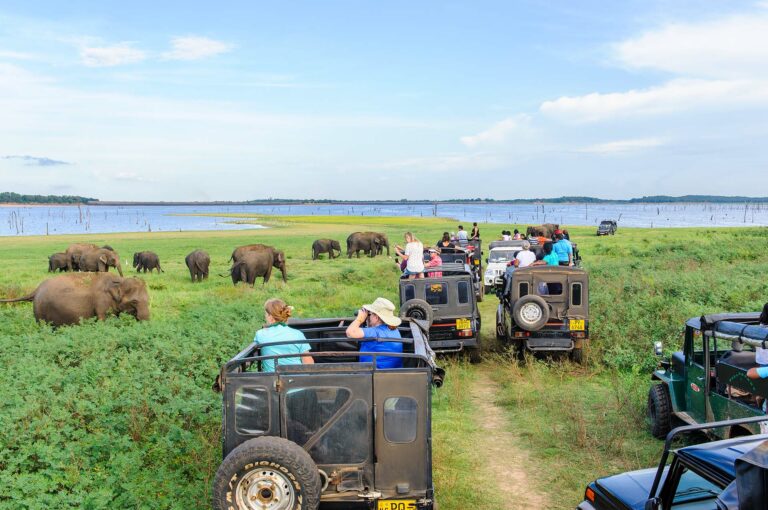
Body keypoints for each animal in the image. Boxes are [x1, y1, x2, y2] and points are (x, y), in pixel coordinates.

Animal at [0, 270, 150, 326]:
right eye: (134, 301)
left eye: (148, 300)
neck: (119, 281)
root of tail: (36, 289)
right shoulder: (102, 302)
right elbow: (103, 321)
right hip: (40, 311)